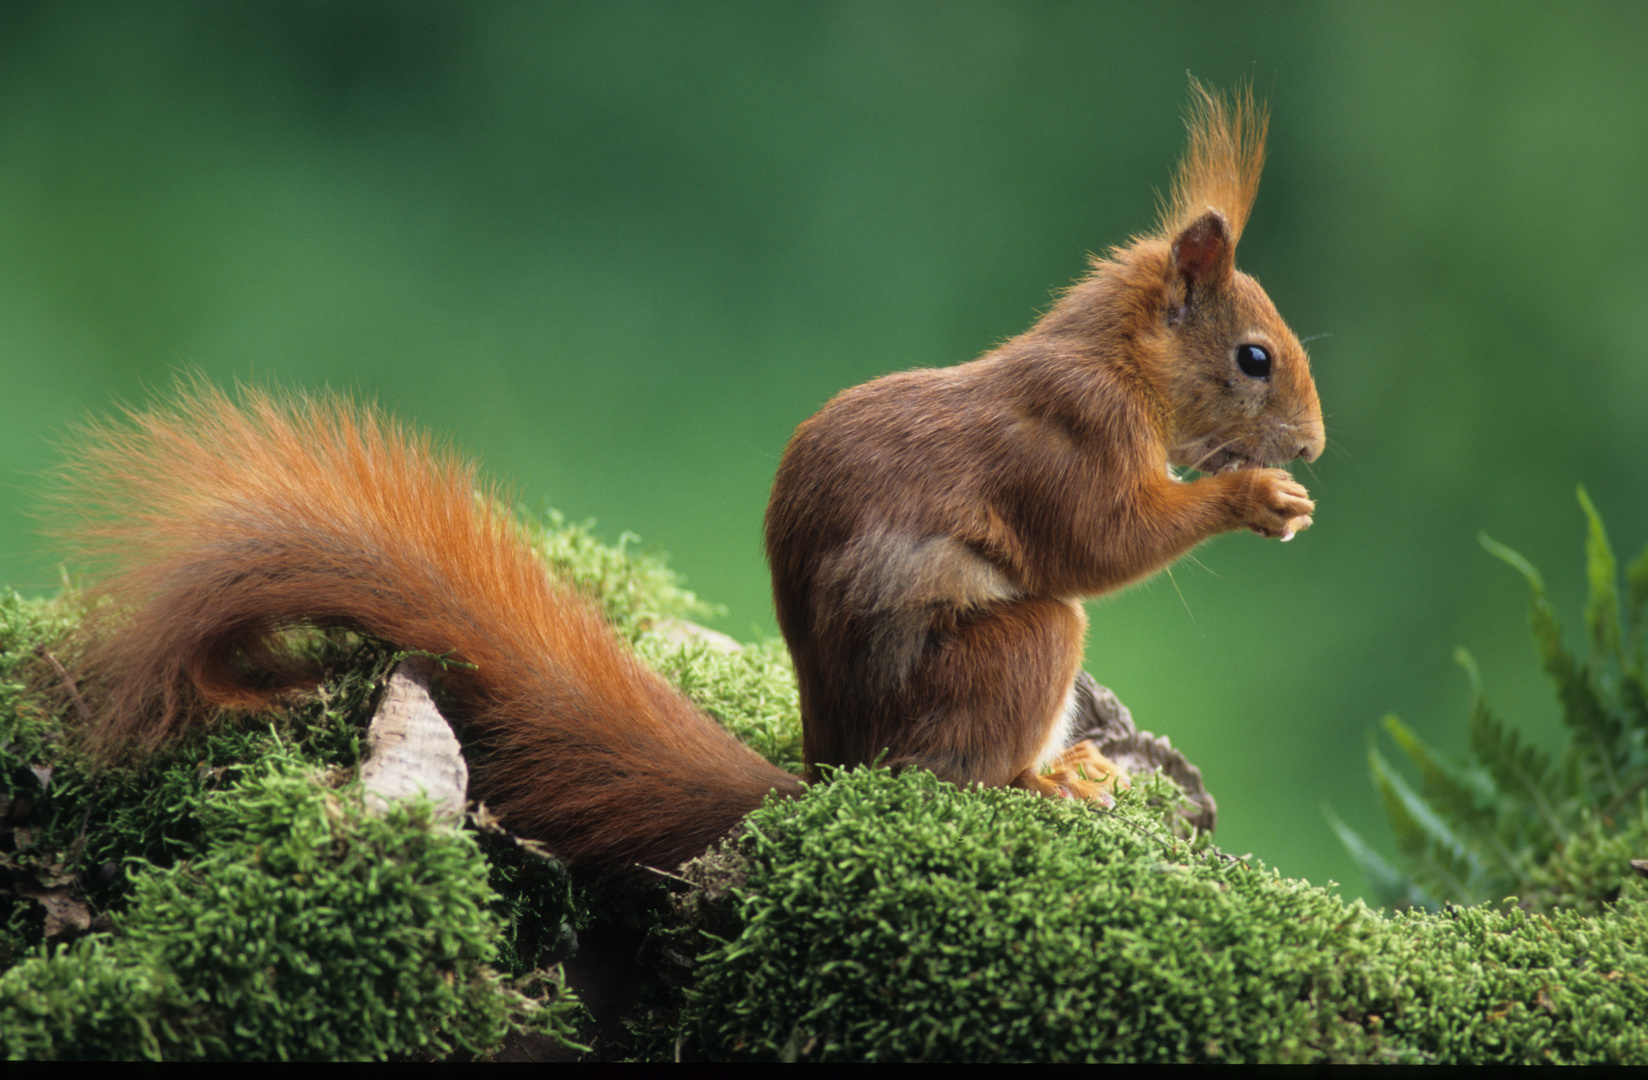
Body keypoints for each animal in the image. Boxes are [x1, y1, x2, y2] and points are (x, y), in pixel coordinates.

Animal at [48, 82, 1324, 877]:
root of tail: (829, 777)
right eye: (1253, 357)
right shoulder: (1066, 436)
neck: (1113, 360)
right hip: (1006, 660)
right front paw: (1254, 501)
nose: (1311, 447)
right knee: (980, 744)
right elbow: (1096, 543)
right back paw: (1036, 782)